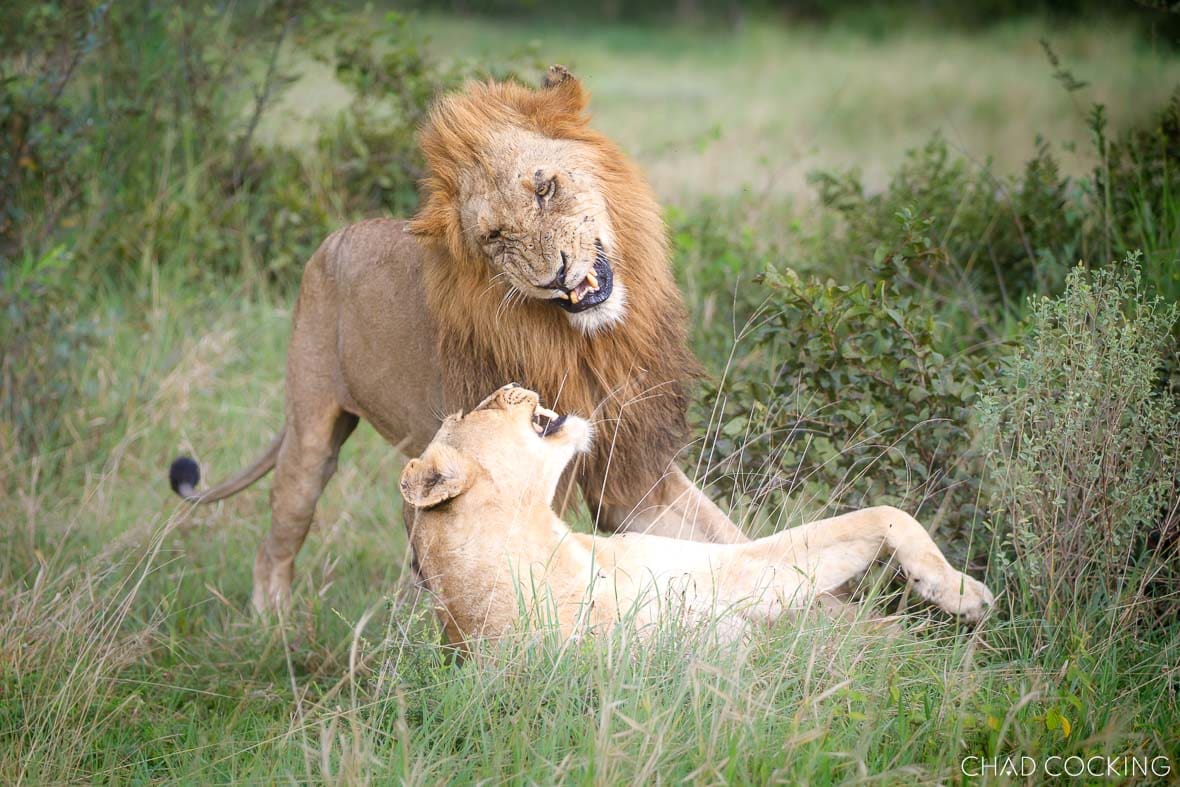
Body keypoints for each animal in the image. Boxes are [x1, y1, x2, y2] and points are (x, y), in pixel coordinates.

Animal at [167, 66, 748, 613]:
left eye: (544, 189)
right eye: (495, 237)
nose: (556, 277)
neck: (588, 342)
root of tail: (332, 238)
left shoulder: (630, 471)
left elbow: (726, 540)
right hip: (310, 435)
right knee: (276, 543)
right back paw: (276, 628)